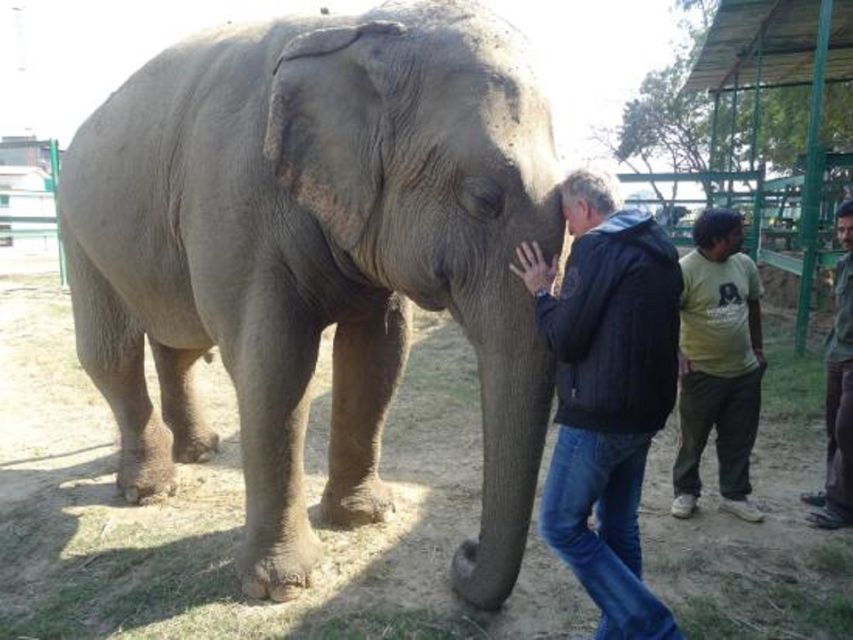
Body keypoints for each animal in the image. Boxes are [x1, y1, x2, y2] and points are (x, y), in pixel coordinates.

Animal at [59, 0, 565, 610]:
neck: (359, 30)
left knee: (178, 344)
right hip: (78, 228)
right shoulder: (235, 204)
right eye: (484, 200)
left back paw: (201, 451)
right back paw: (149, 490)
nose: (463, 553)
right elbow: (274, 368)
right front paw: (281, 587)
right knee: (108, 352)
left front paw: (366, 517)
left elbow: (380, 353)